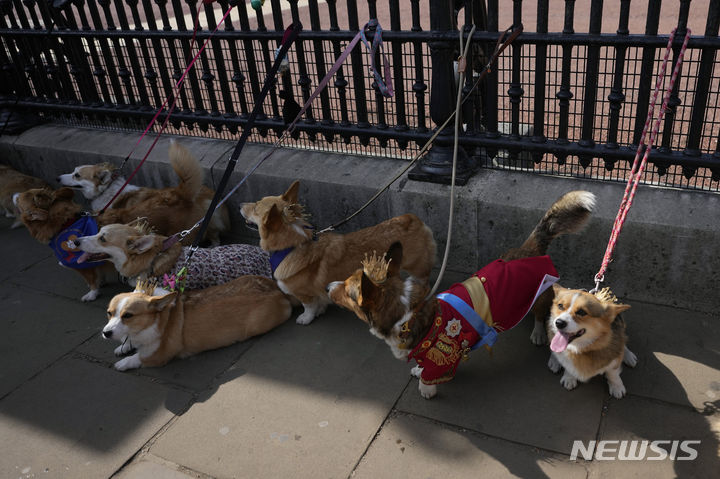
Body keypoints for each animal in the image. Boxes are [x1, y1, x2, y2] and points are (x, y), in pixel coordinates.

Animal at [102, 278, 292, 372]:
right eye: (109, 313)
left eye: (128, 315)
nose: (105, 333)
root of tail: (278, 290)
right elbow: (128, 342)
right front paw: (123, 347)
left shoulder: (159, 354)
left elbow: (139, 357)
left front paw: (123, 363)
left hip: (256, 326)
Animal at [239, 181, 436, 326]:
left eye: (256, 207)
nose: (240, 203)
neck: (292, 245)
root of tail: (410, 219)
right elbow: (318, 302)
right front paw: (319, 311)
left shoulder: (303, 293)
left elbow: (308, 306)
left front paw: (305, 318)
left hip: (417, 266)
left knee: (424, 280)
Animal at [328, 189, 596, 400]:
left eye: (348, 290)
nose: (328, 287)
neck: (406, 316)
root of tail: (529, 248)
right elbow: (422, 365)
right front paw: (418, 370)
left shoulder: (443, 353)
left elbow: (430, 377)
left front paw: (425, 388)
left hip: (539, 297)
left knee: (541, 316)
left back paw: (539, 335)